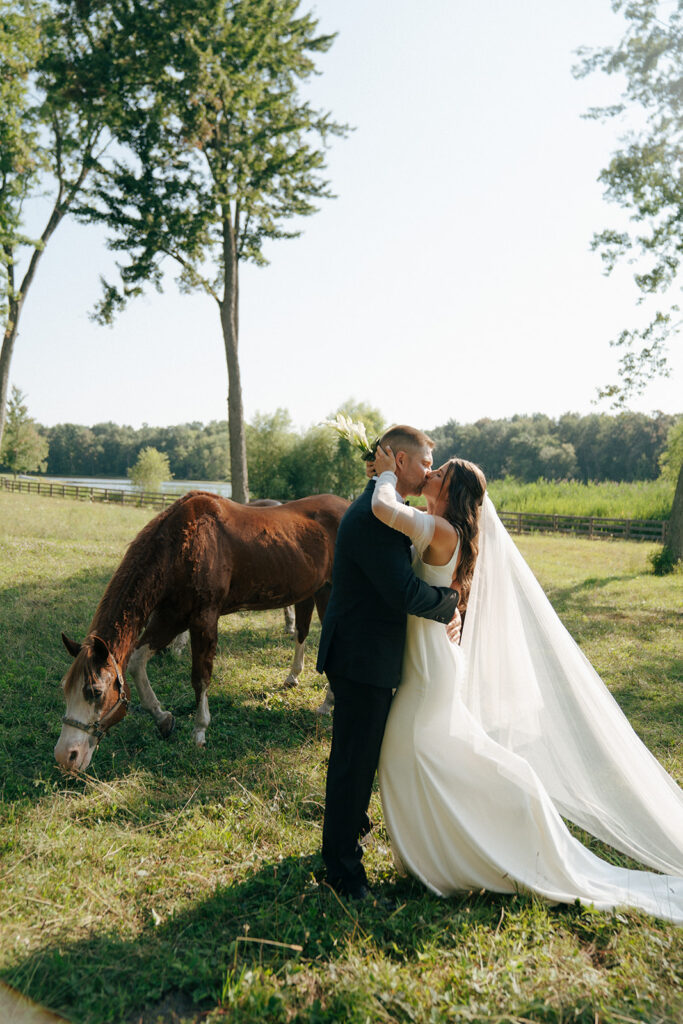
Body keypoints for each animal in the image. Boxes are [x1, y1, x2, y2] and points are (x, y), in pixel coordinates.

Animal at [53, 491, 348, 770]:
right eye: (65, 689)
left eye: (95, 692)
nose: (66, 757)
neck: (181, 546)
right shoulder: (171, 617)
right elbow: (137, 661)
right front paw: (163, 719)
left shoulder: (203, 619)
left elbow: (200, 677)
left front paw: (199, 731)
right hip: (316, 591)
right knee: (304, 632)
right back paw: (300, 682)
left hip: (331, 594)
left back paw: (326, 703)